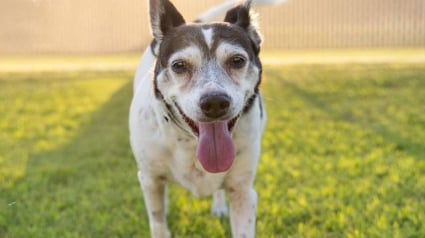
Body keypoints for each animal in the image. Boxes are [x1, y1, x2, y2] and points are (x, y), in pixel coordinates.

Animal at [127, 0, 284, 237]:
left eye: (237, 61)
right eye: (179, 65)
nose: (215, 102)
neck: (190, 143)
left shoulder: (243, 192)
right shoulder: (150, 180)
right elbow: (158, 222)